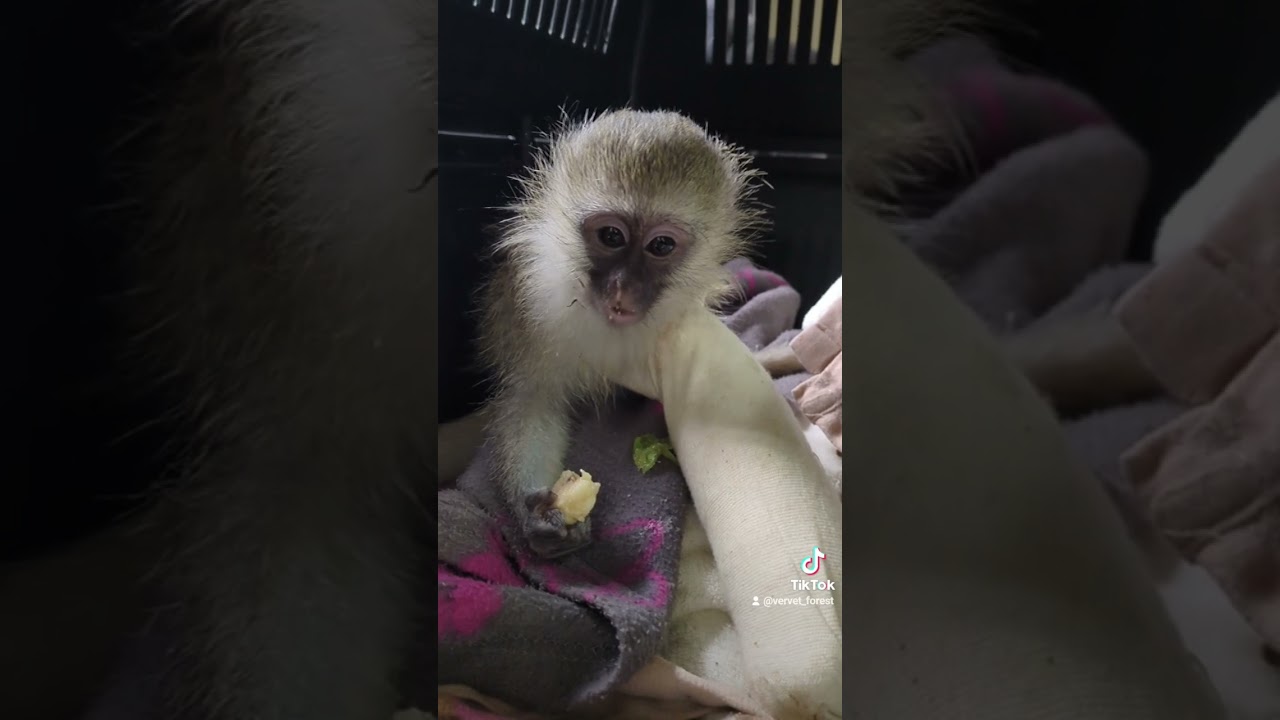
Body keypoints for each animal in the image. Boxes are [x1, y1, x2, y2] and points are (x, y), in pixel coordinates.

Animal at [477, 110, 763, 559]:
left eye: (661, 245)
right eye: (611, 236)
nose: (623, 289)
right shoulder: (526, 305)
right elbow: (531, 399)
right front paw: (538, 513)